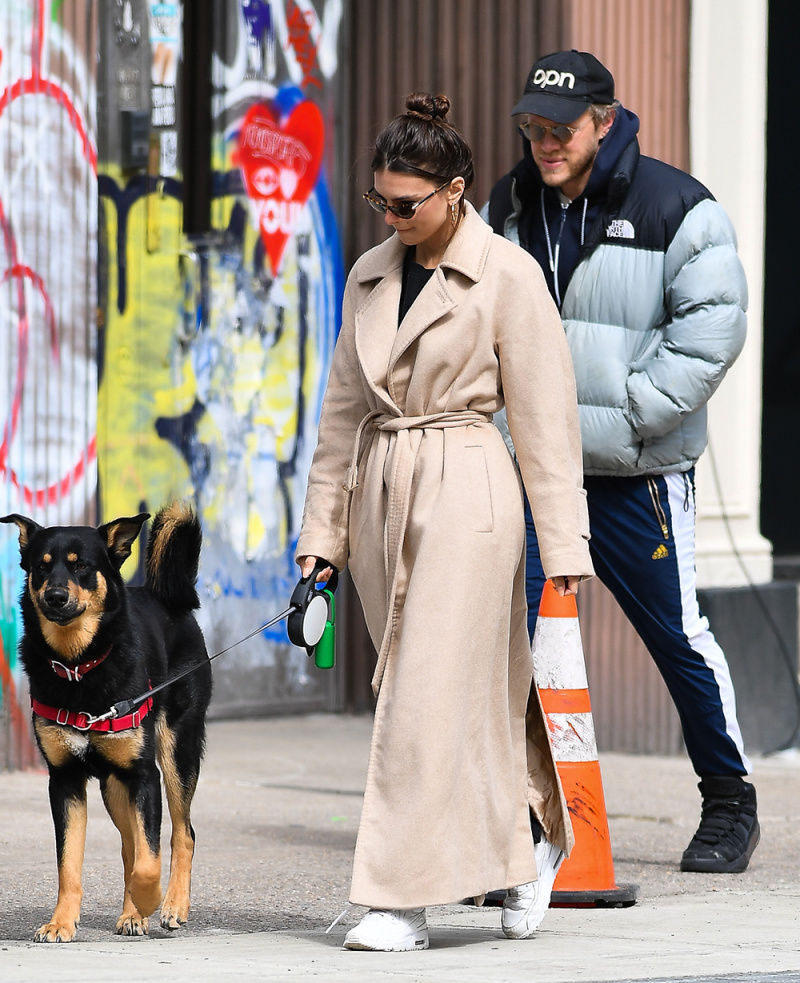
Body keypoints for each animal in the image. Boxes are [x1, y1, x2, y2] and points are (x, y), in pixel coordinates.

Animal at [0, 504, 212, 940]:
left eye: (82, 566)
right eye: (42, 566)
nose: (55, 596)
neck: (79, 664)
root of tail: (169, 599)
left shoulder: (143, 775)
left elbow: (150, 858)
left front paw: (149, 900)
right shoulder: (64, 781)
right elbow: (69, 864)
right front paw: (61, 922)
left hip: (176, 752)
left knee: (182, 834)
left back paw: (170, 906)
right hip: (114, 787)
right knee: (130, 846)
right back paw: (133, 912)